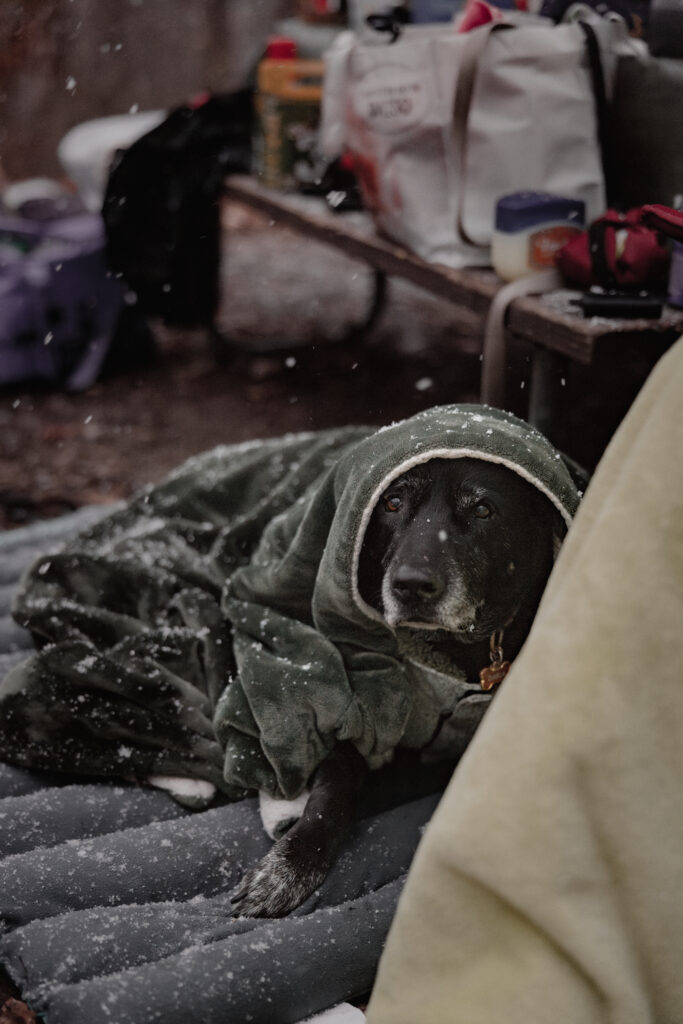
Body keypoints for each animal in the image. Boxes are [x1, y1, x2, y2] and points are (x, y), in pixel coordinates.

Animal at [232, 460, 565, 917]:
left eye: (483, 509)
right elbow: (329, 794)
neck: (453, 650)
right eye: (392, 502)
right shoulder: (356, 716)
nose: (411, 585)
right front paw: (287, 866)